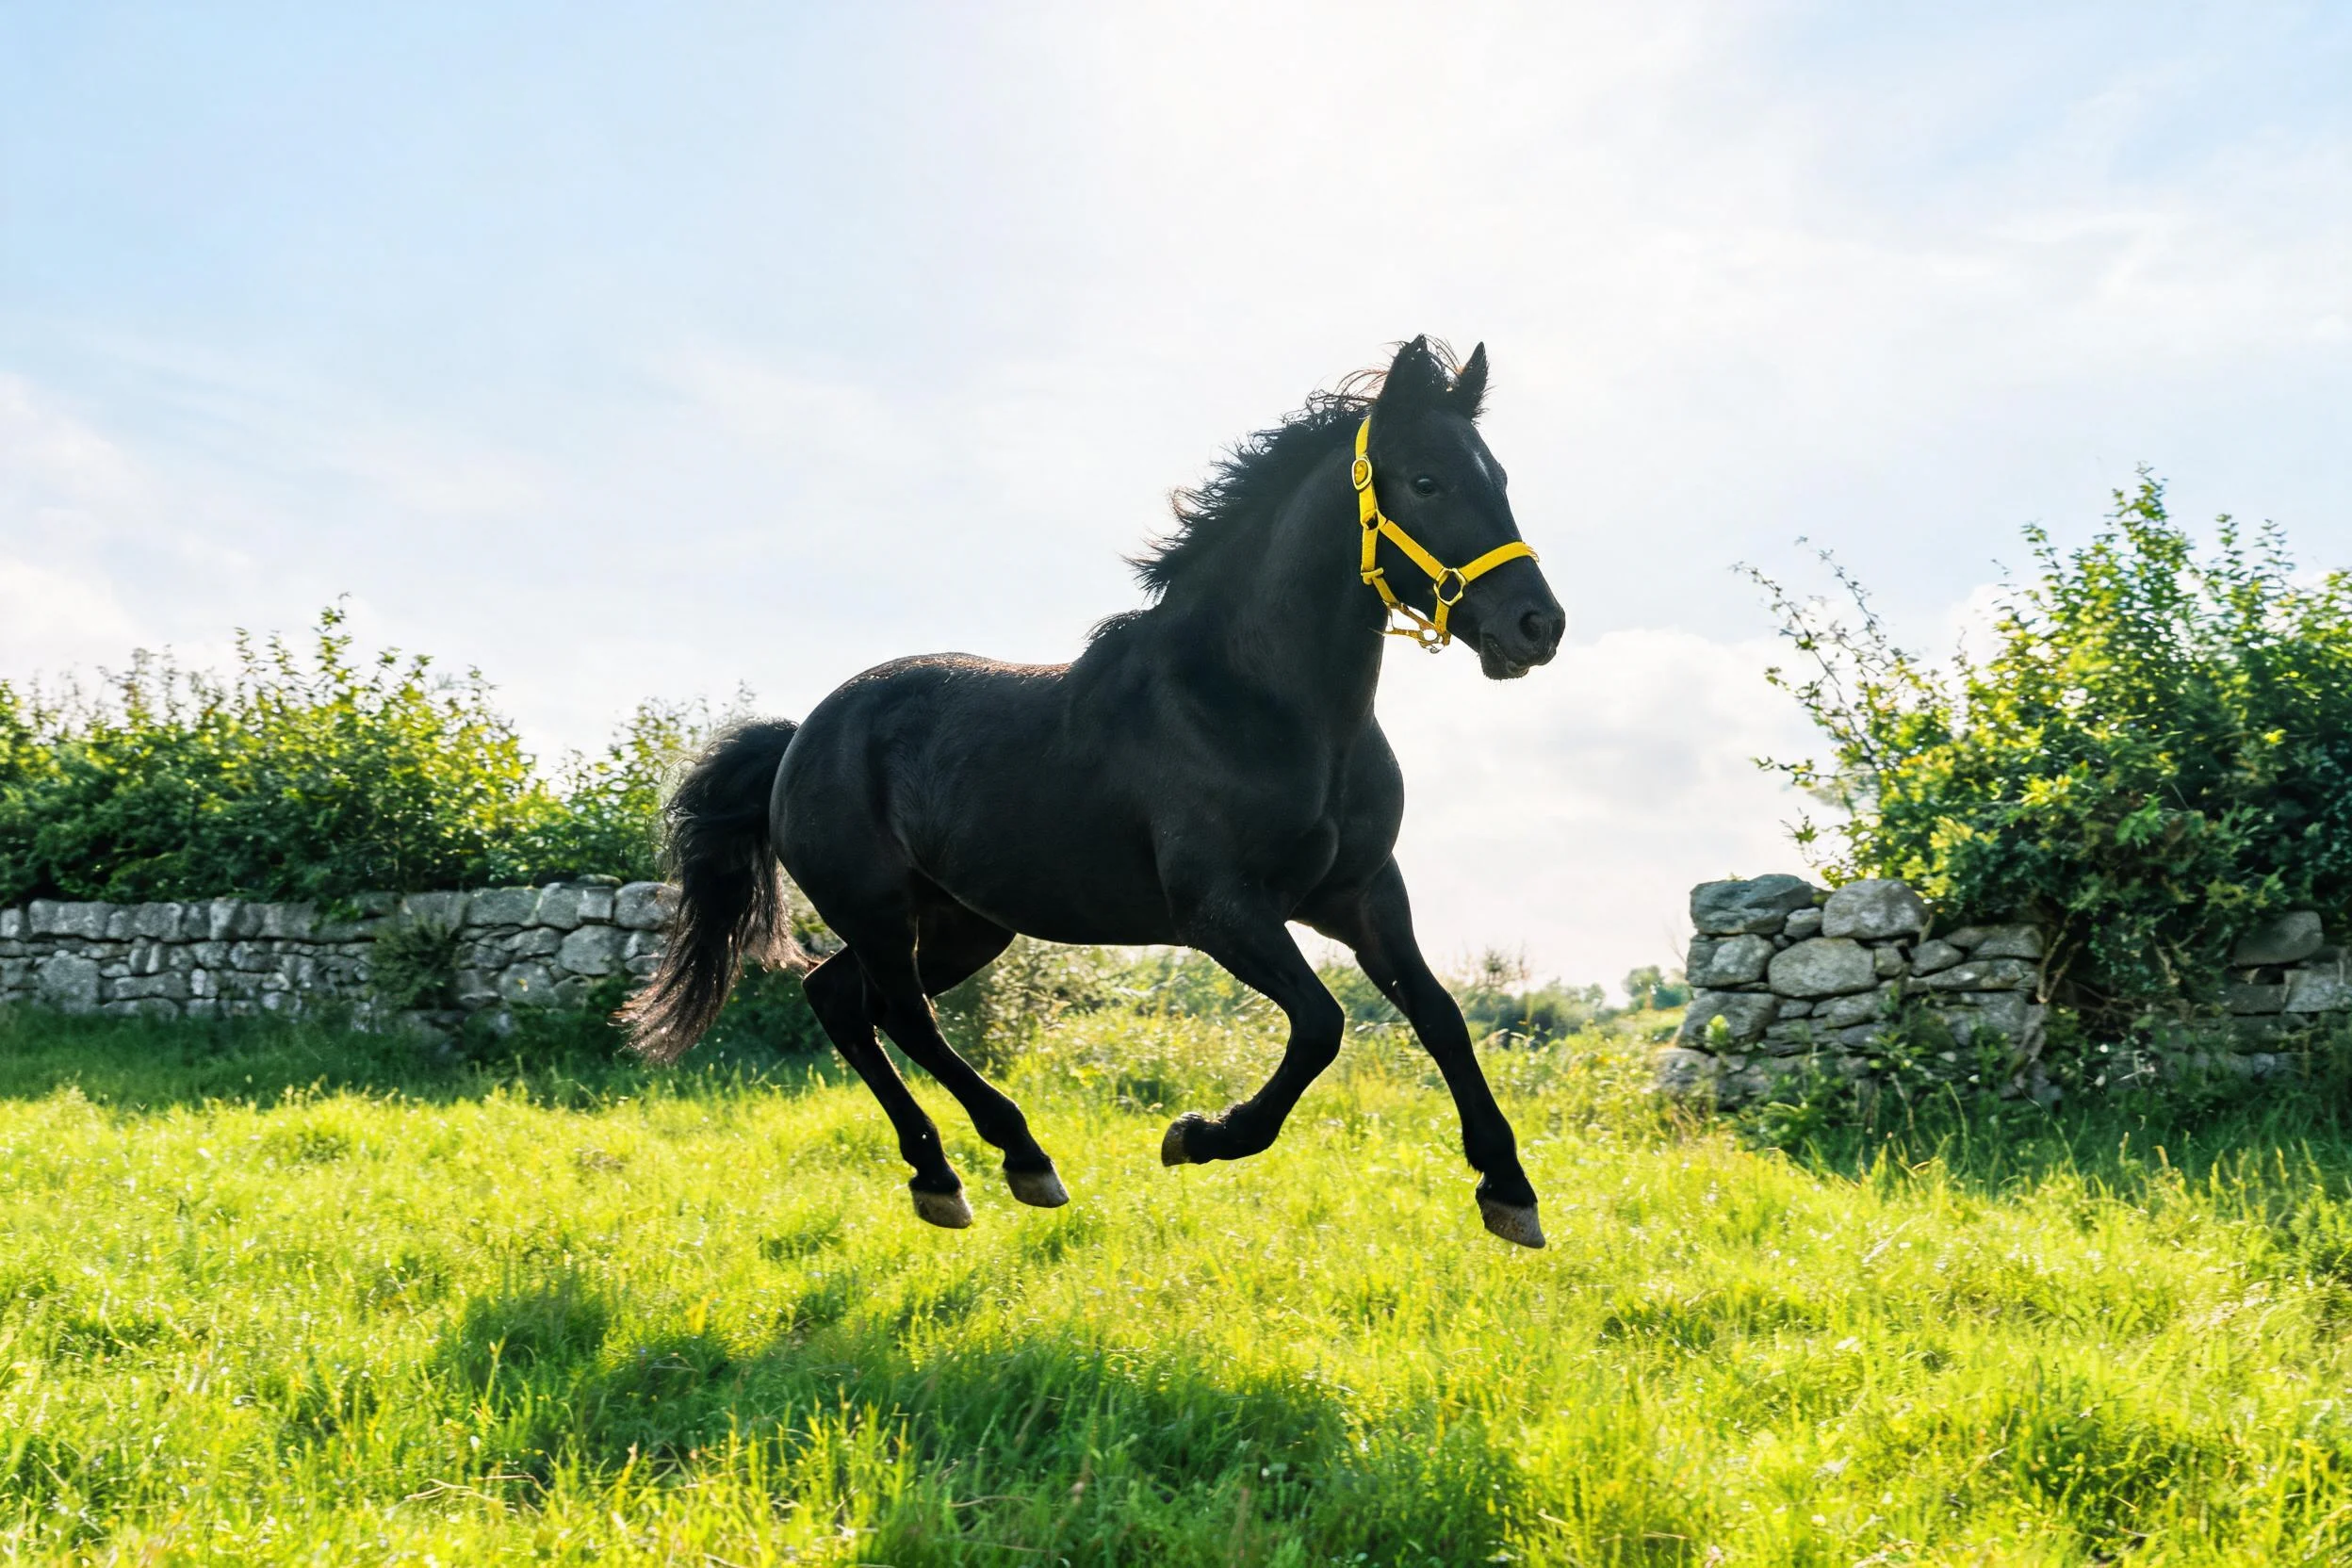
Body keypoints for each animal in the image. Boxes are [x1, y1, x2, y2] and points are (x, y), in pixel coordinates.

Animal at [624, 337, 1567, 1247]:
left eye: (1500, 479)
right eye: (1426, 480)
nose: (1538, 626)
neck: (1263, 706)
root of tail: (798, 739)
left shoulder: (1362, 894)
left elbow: (1440, 1016)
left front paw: (1510, 1192)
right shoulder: (1222, 910)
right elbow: (1321, 1024)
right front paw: (1198, 1136)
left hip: (962, 922)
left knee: (844, 1000)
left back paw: (940, 1177)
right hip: (883, 910)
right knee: (904, 1014)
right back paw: (1019, 1160)